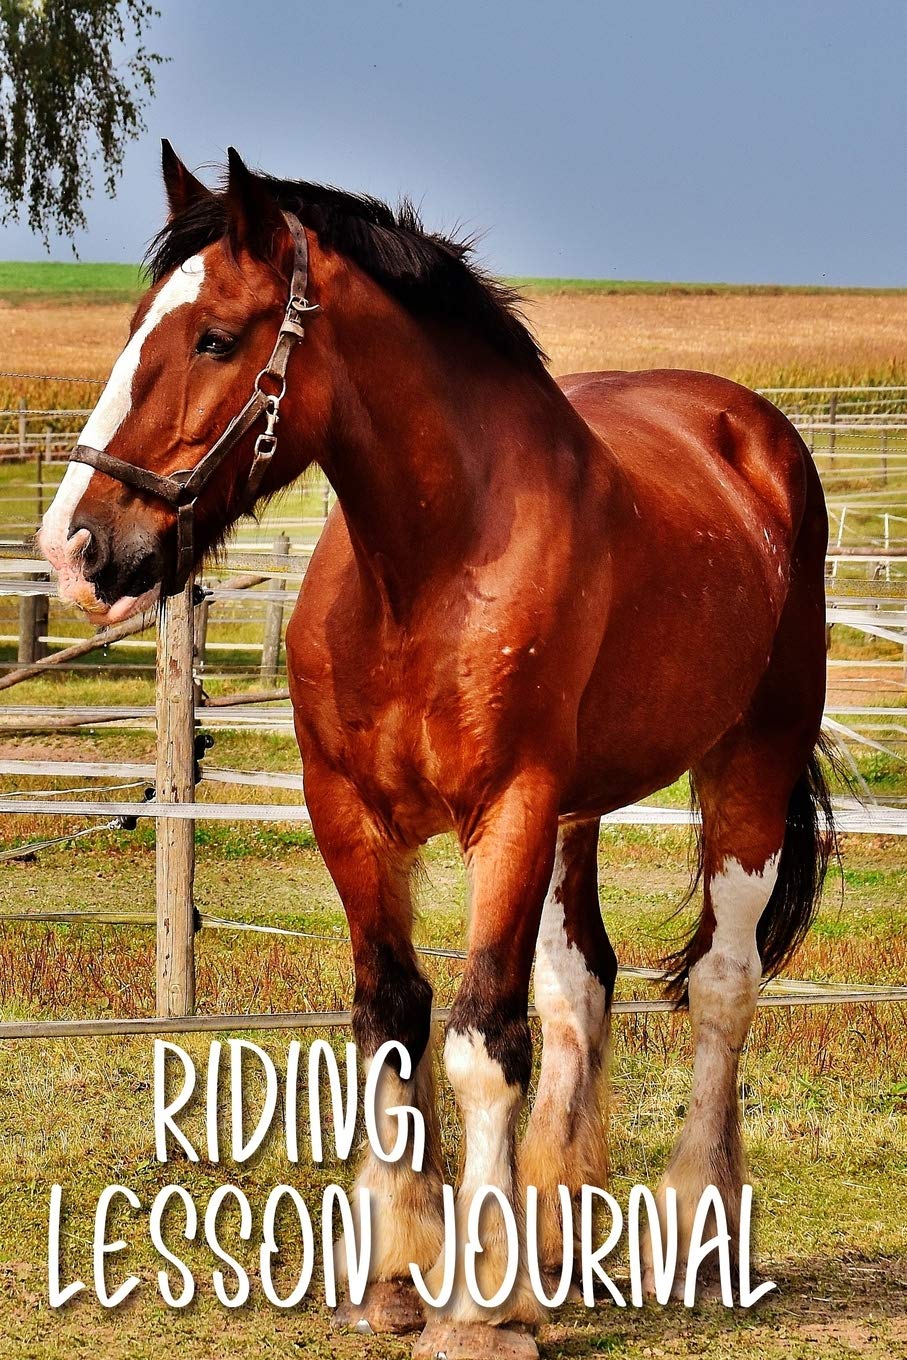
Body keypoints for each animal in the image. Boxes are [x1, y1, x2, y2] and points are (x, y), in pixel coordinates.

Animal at [37, 143, 832, 1359]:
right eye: (133, 326)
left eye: (214, 337)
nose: (74, 550)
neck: (428, 569)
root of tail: (751, 431)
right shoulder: (350, 812)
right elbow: (393, 1016)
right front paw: (401, 1269)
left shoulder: (509, 809)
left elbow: (478, 1039)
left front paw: (474, 1307)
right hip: (578, 817)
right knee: (579, 985)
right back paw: (551, 1244)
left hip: (746, 762)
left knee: (722, 989)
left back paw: (691, 1235)